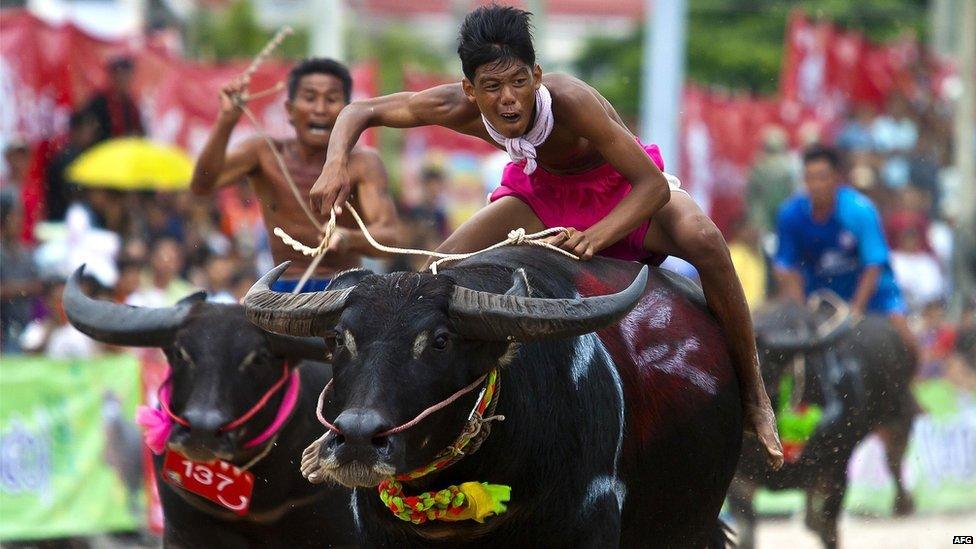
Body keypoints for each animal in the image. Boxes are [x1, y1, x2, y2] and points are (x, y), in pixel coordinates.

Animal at [728, 296, 920, 548]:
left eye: (763, 364)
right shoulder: (739, 481)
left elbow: (828, 530)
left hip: (900, 417)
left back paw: (903, 504)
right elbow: (746, 533)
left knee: (894, 459)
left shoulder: (834, 471)